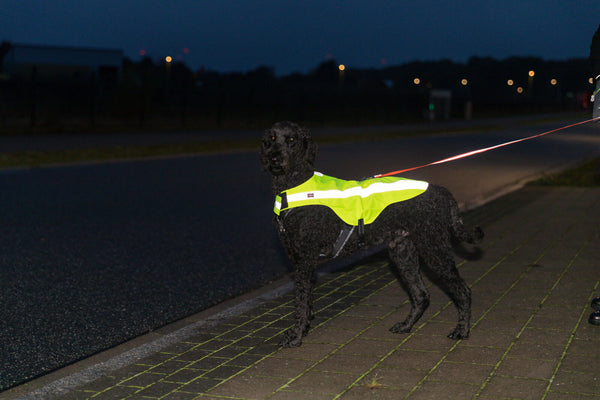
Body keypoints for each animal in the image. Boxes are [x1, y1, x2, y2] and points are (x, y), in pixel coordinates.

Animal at [258, 121, 482, 346]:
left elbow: (301, 302)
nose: (274, 158)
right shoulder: (299, 259)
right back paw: (406, 325)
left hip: (433, 248)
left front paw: (296, 335)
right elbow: (306, 301)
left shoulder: (304, 260)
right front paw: (302, 330)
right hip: (403, 253)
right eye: (271, 139)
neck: (294, 184)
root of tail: (442, 192)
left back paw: (462, 330)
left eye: (291, 140)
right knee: (421, 295)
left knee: (463, 291)